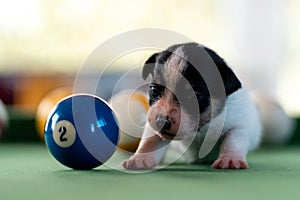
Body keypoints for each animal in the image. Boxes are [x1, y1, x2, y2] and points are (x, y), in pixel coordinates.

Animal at [120, 43, 292, 170]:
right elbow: (150, 142)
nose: (163, 120)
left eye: (194, 96)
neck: (201, 128)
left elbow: (232, 141)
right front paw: (141, 157)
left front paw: (230, 158)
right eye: (154, 90)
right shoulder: (155, 126)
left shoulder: (239, 125)